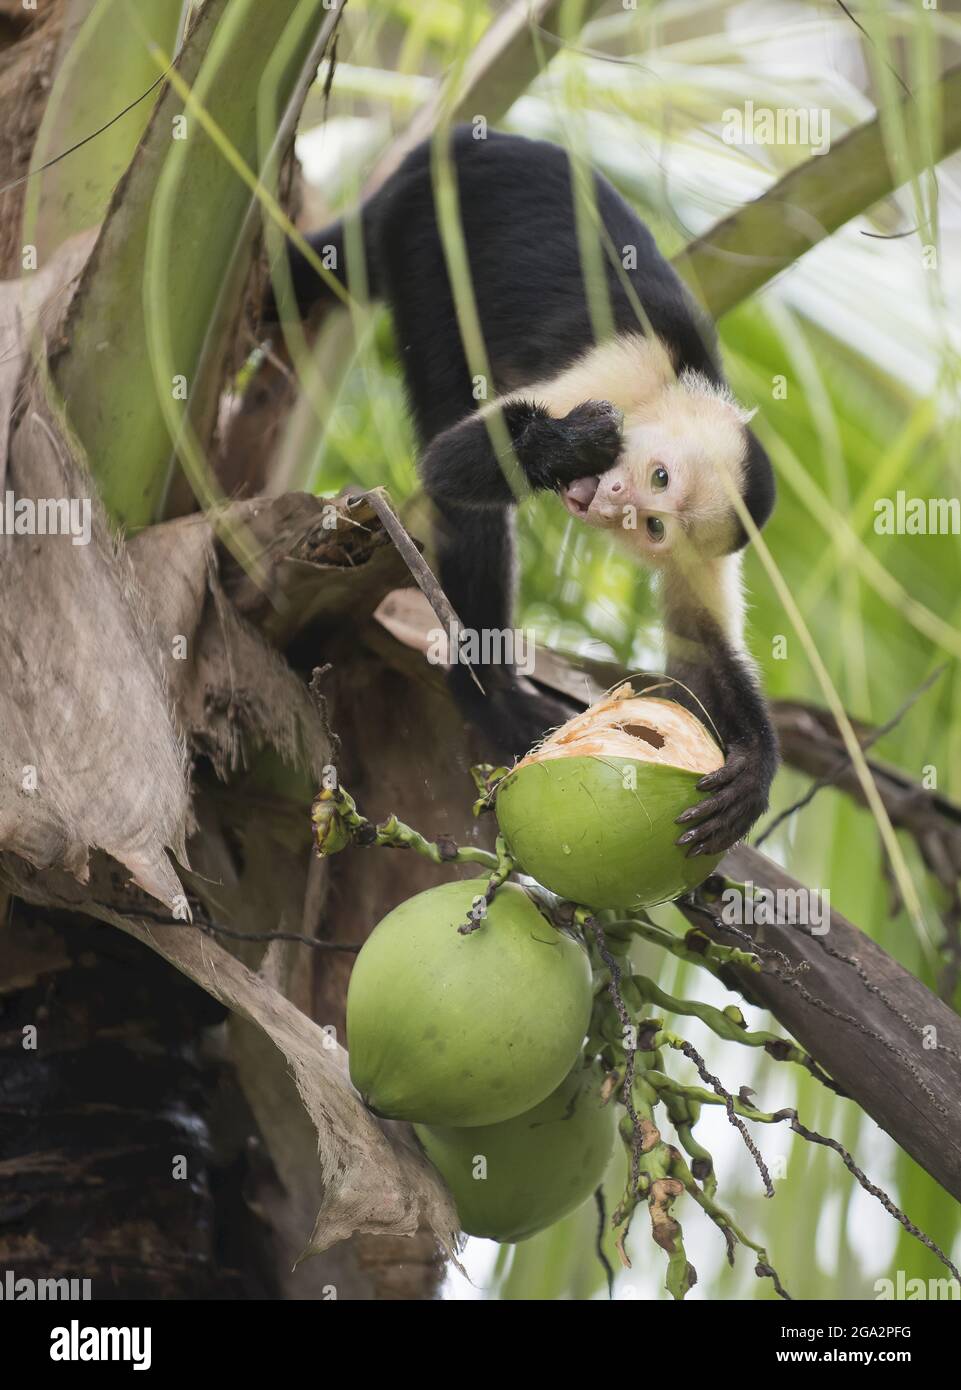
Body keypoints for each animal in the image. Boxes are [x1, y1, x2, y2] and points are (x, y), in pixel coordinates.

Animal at [271, 126, 778, 856]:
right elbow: (449, 461)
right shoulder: (623, 372)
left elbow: (697, 648)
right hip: (428, 232)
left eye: (654, 526)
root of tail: (467, 141)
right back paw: (486, 692)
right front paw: (569, 446)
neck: (670, 389)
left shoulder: (700, 552)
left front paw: (753, 772)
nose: (616, 500)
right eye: (656, 477)